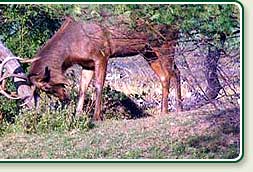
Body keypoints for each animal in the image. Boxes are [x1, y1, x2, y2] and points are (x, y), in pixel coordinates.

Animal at [27, 16, 182, 120]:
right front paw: (78, 115)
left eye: (46, 86)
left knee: (171, 73)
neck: (70, 52)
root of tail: (177, 25)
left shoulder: (102, 55)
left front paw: (97, 117)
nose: (64, 97)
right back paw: (174, 108)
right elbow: (82, 89)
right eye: (44, 90)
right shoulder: (87, 64)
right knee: (169, 74)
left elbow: (98, 85)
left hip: (164, 44)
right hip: (149, 52)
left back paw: (168, 110)